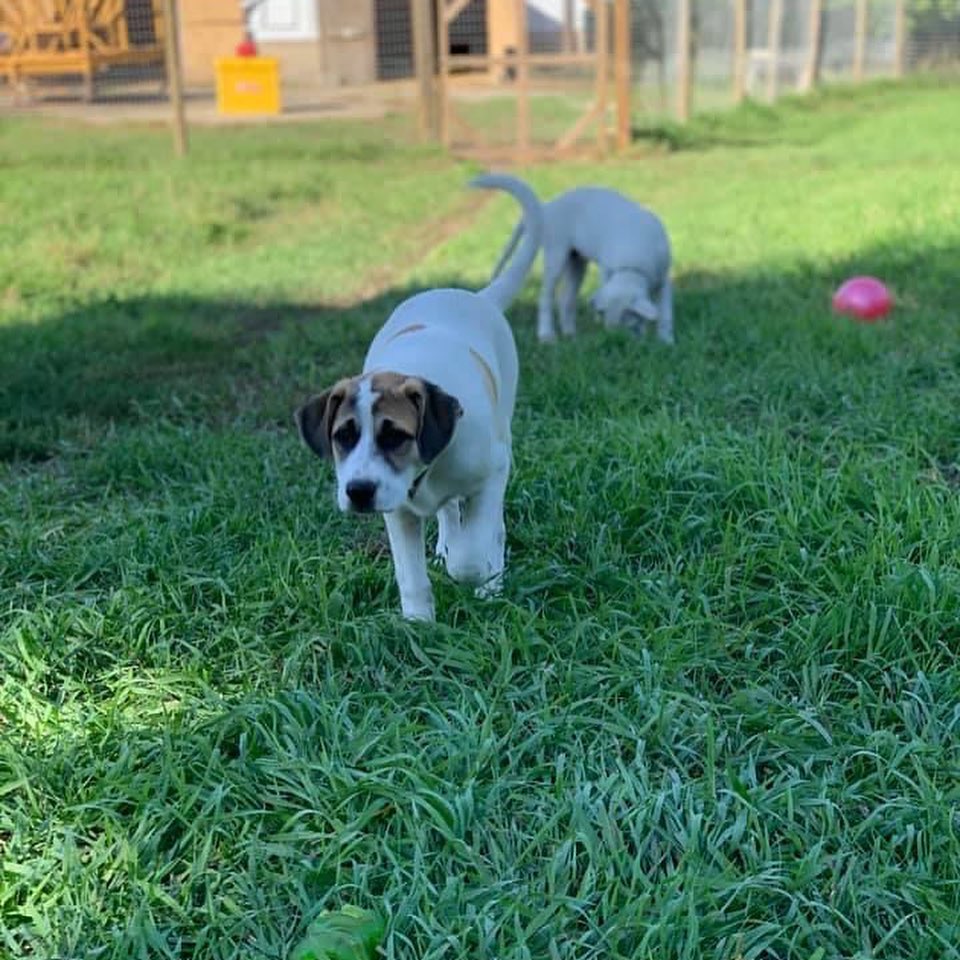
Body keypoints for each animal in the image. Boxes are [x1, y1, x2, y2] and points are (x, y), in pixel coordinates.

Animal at [294, 173, 540, 624]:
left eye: (395, 435)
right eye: (343, 436)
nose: (358, 491)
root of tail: (476, 297)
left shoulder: (493, 470)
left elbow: (474, 549)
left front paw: (475, 572)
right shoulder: (398, 510)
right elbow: (411, 574)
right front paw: (418, 624)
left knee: (490, 526)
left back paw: (490, 580)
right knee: (449, 511)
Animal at [492, 184, 672, 344]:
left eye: (631, 326)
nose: (619, 341)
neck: (631, 267)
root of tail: (547, 207)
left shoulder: (664, 279)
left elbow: (665, 314)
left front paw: (666, 341)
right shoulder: (606, 270)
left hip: (576, 262)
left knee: (566, 299)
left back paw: (570, 334)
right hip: (556, 254)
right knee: (545, 297)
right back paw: (546, 335)